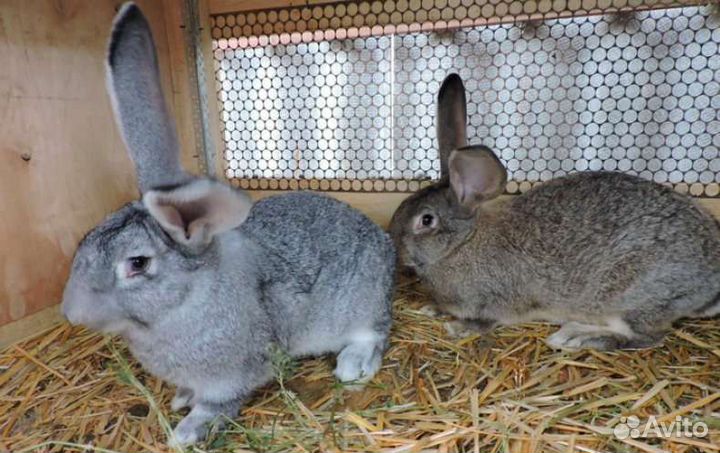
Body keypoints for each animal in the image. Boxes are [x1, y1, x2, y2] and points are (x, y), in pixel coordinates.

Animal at [61, 3, 395, 445]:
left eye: (137, 264)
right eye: (85, 240)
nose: (70, 313)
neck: (185, 303)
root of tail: (382, 240)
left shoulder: (230, 377)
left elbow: (218, 404)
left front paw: (186, 433)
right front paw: (181, 398)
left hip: (360, 303)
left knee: (374, 332)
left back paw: (352, 365)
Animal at [389, 73, 720, 351]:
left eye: (426, 220)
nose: (395, 248)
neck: (462, 243)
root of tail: (711, 283)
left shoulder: (497, 301)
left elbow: (486, 321)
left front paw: (458, 327)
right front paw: (431, 308)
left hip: (632, 297)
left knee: (647, 336)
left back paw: (577, 337)